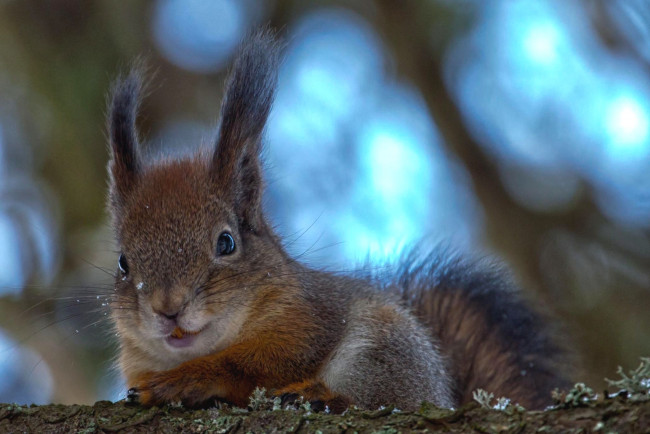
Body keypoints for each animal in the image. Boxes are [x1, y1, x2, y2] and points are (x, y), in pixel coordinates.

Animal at [105, 28, 568, 412]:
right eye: (123, 263)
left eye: (226, 242)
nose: (168, 308)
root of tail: (444, 394)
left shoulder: (310, 322)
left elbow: (254, 365)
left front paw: (186, 380)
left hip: (384, 349)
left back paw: (322, 396)